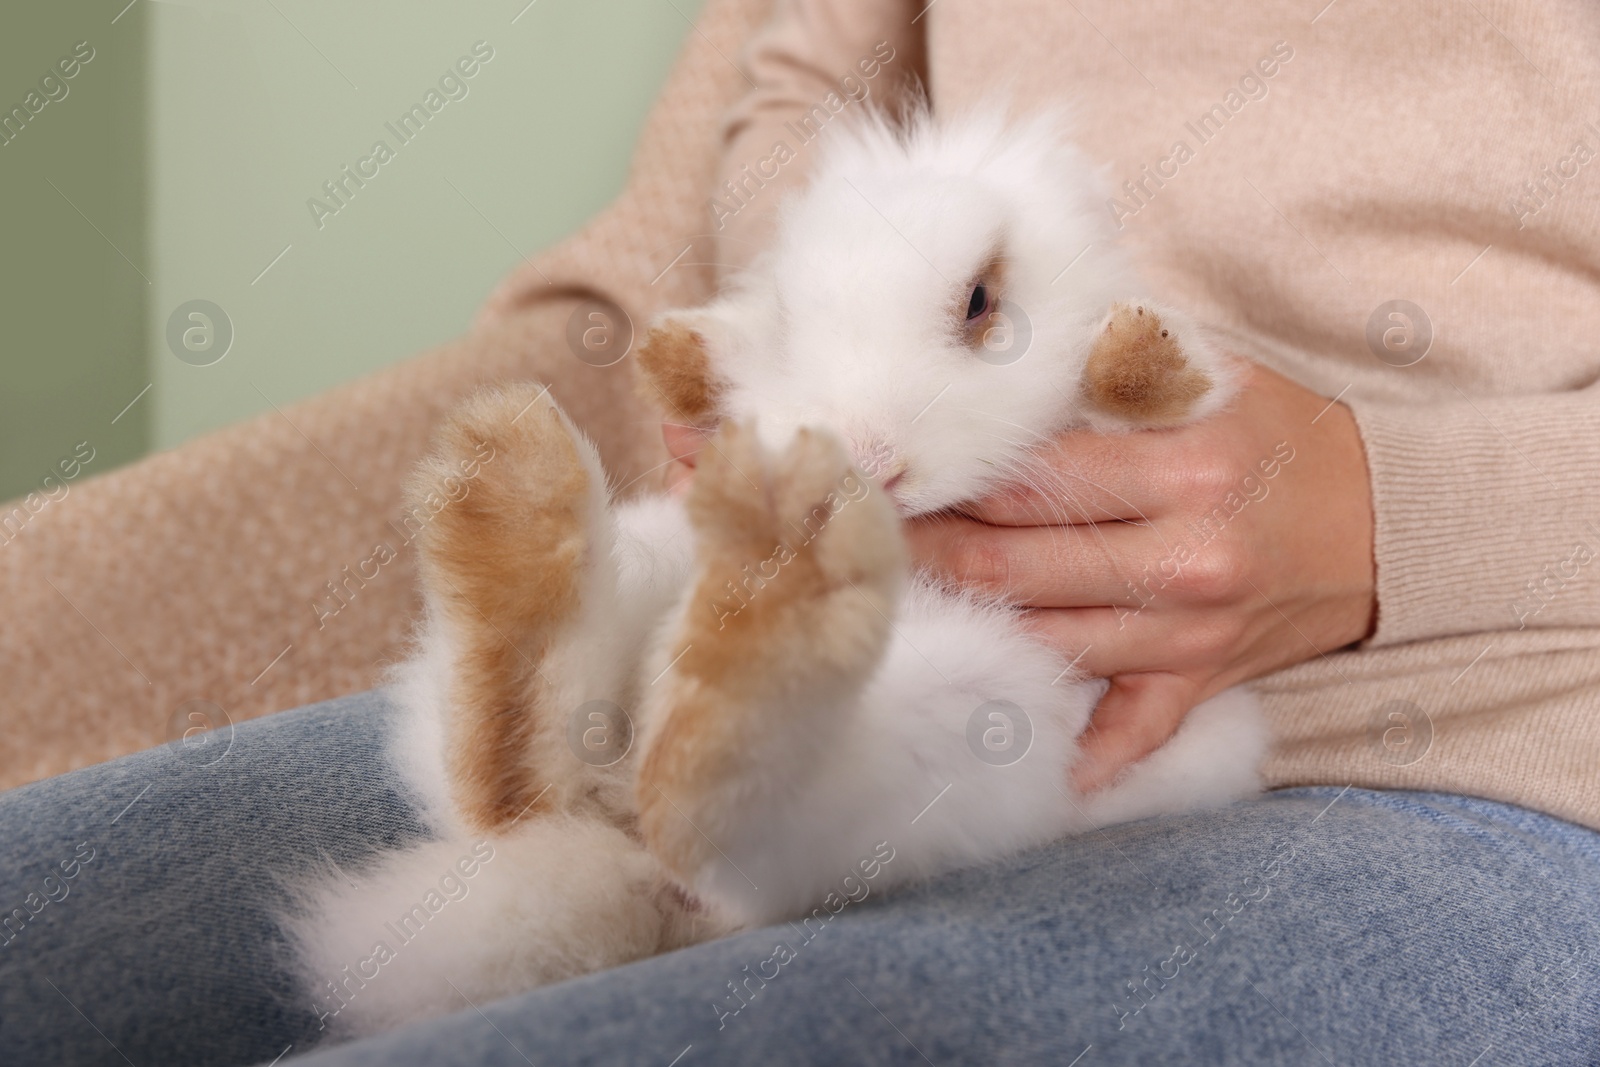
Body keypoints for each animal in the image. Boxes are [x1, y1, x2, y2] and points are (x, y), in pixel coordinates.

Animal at [288, 99, 1260, 1036]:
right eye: (792, 321)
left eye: (982, 302)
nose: (869, 462)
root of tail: (630, 856)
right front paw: (676, 355)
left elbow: (1148, 398)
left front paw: (1138, 351)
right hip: (647, 563)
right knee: (506, 777)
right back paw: (513, 508)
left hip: (965, 725)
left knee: (727, 820)